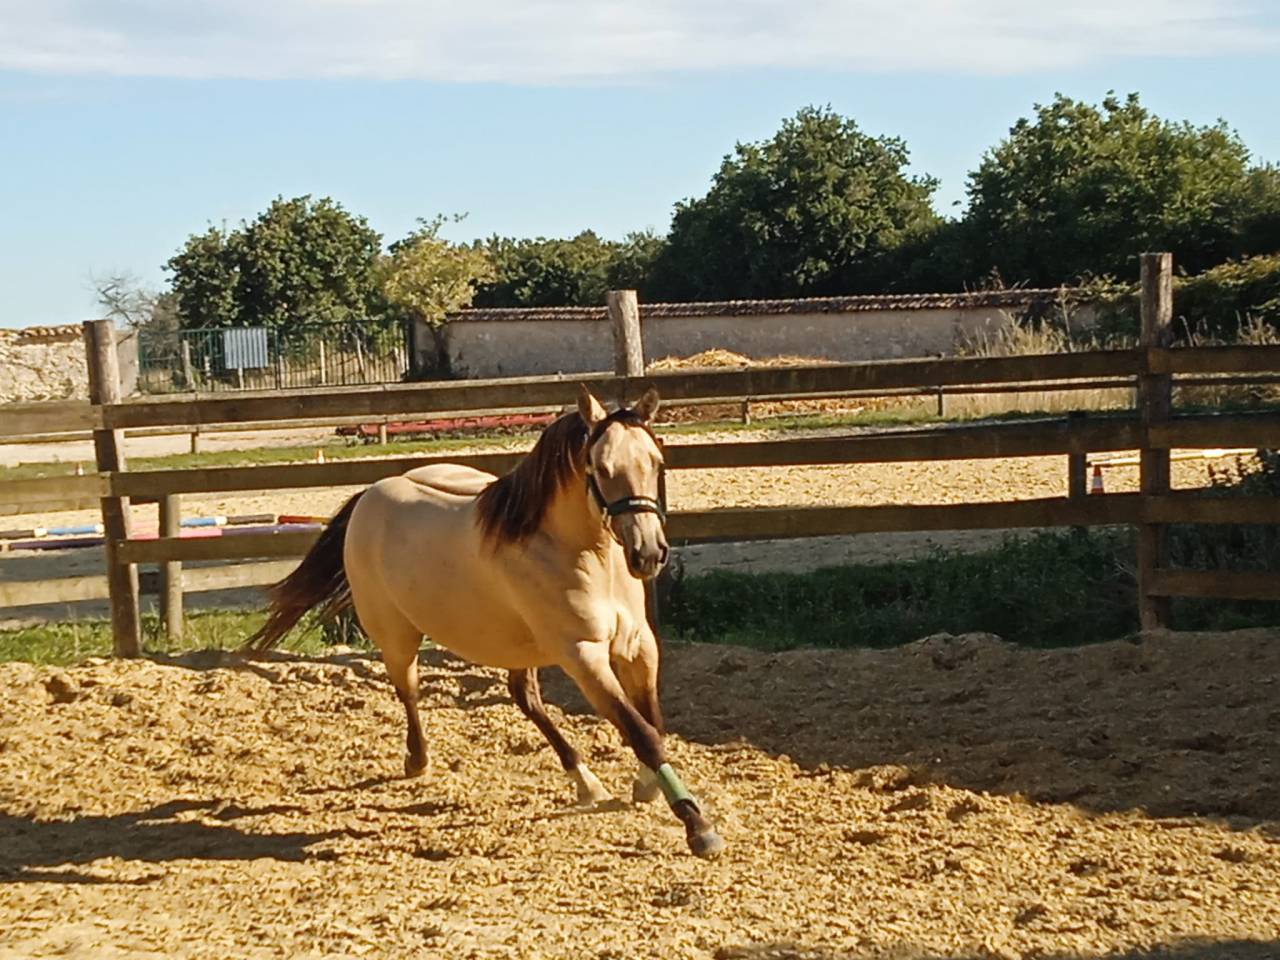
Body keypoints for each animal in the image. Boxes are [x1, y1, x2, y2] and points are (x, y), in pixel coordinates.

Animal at [244, 385, 724, 858]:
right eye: (602, 468)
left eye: (656, 462)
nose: (649, 554)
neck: (583, 555)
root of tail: (370, 494)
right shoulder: (583, 656)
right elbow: (641, 731)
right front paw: (698, 827)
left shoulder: (638, 645)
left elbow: (652, 722)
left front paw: (646, 787)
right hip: (397, 634)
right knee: (410, 690)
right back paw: (418, 761)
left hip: (515, 643)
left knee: (524, 697)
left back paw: (585, 783)